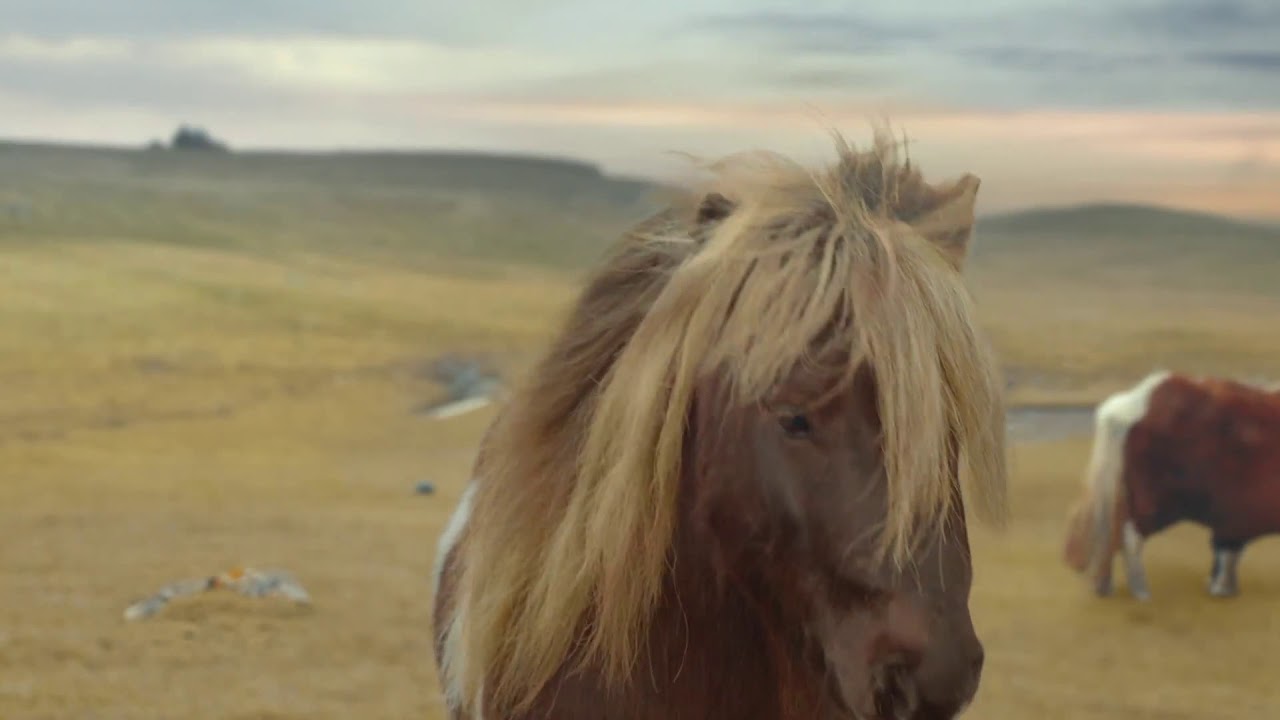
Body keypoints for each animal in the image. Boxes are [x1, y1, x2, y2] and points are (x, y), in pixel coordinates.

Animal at [1063, 370, 1280, 600]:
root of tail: (1139, 400)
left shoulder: (1232, 519)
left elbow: (1225, 551)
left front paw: (1219, 587)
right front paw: (1221, 588)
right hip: (1154, 503)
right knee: (1131, 538)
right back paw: (1142, 592)